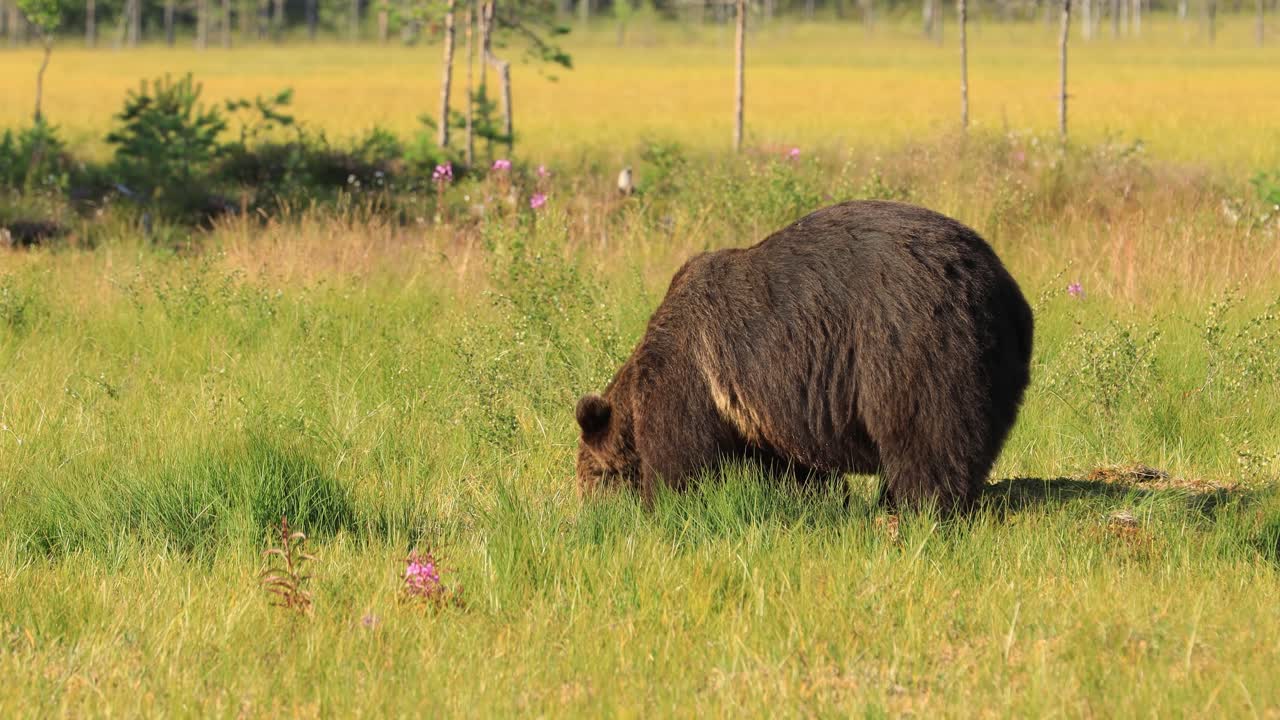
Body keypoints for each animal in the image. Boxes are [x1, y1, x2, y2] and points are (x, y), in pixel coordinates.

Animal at [574, 199, 1033, 514]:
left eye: (589, 477)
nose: (588, 513)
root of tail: (999, 286)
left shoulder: (690, 380)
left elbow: (679, 460)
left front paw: (663, 506)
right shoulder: (767, 412)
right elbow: (795, 470)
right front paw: (819, 498)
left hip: (911, 344)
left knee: (927, 438)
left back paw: (919, 508)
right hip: (997, 362)